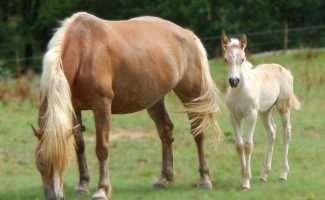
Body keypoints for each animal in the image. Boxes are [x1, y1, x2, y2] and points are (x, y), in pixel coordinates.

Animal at [32, 12, 220, 200]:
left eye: (62, 162)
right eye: (40, 162)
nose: (53, 197)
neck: (85, 49)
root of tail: (187, 34)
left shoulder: (102, 105)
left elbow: (102, 148)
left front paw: (102, 189)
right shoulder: (74, 107)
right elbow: (79, 145)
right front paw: (83, 185)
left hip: (191, 96)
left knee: (197, 133)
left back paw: (204, 179)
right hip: (154, 100)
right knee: (165, 131)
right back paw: (163, 179)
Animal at [220, 33, 298, 190]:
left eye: (242, 59)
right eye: (225, 59)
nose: (234, 81)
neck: (240, 91)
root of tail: (285, 70)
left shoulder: (251, 114)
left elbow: (248, 145)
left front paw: (246, 182)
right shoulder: (234, 116)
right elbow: (239, 145)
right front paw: (243, 177)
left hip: (283, 108)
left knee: (286, 132)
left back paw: (283, 174)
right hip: (265, 111)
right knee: (272, 132)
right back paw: (264, 175)